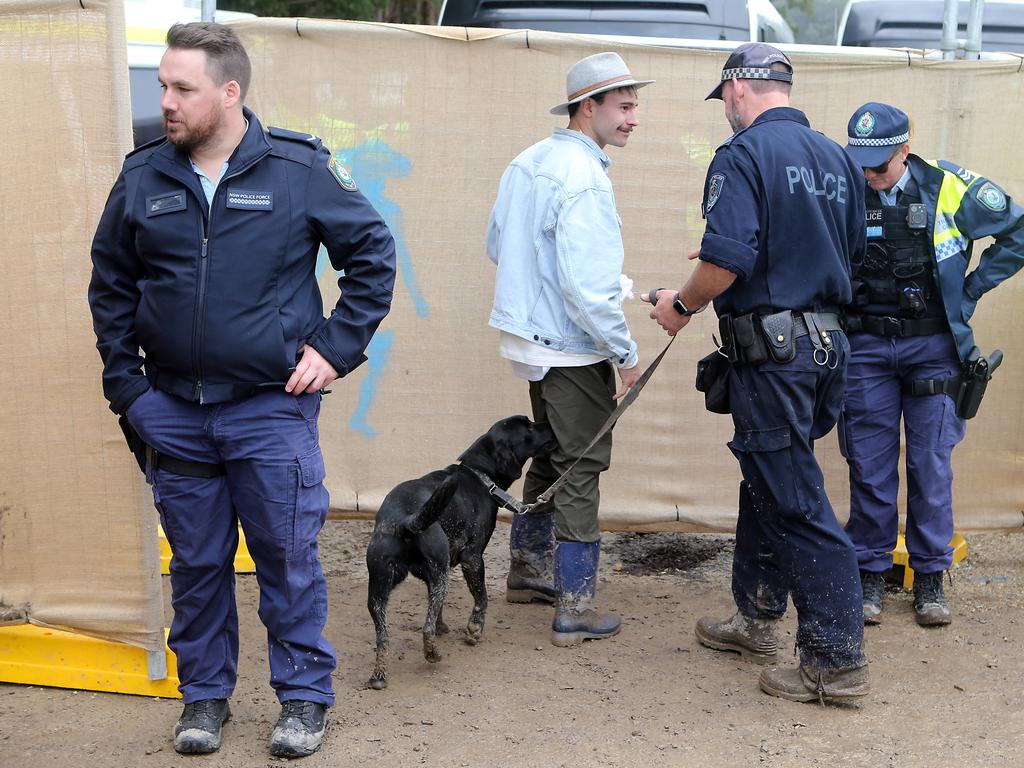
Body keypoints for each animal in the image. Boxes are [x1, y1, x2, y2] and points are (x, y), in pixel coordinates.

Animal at [368, 415, 557, 692]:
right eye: (529, 427)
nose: (551, 424)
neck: (480, 477)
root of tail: (405, 520)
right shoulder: (472, 559)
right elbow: (482, 598)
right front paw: (474, 630)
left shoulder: (434, 574)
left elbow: (438, 610)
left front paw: (443, 626)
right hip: (439, 574)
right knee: (424, 629)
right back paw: (433, 654)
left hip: (380, 589)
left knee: (383, 637)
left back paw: (379, 675)